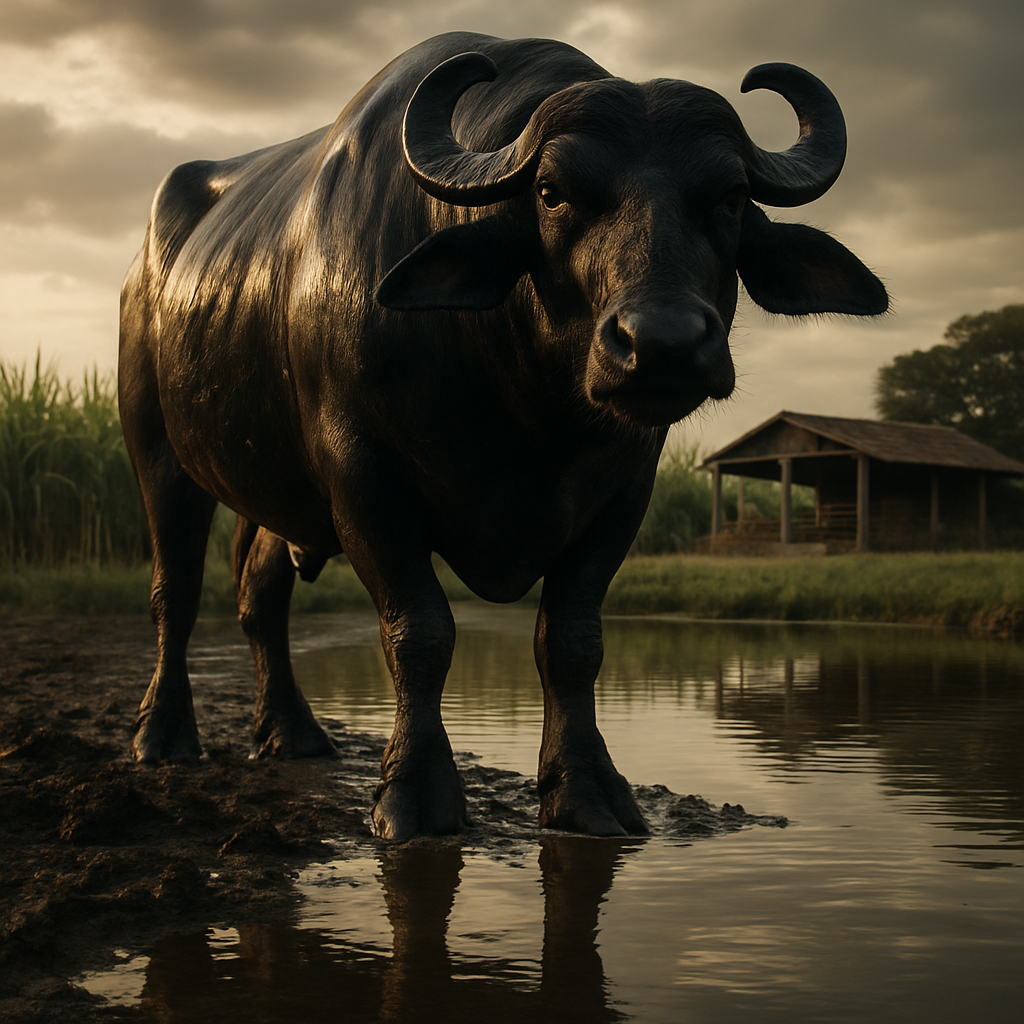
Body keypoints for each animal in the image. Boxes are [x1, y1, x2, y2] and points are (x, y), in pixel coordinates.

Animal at [119, 32, 887, 839]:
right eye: (552, 193)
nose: (665, 343)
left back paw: (292, 734)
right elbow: (419, 631)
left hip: (278, 492)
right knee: (175, 592)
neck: (527, 410)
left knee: (259, 597)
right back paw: (163, 735)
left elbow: (572, 640)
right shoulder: (363, 476)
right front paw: (415, 791)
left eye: (731, 196)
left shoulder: (623, 494)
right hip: (158, 452)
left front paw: (587, 791)